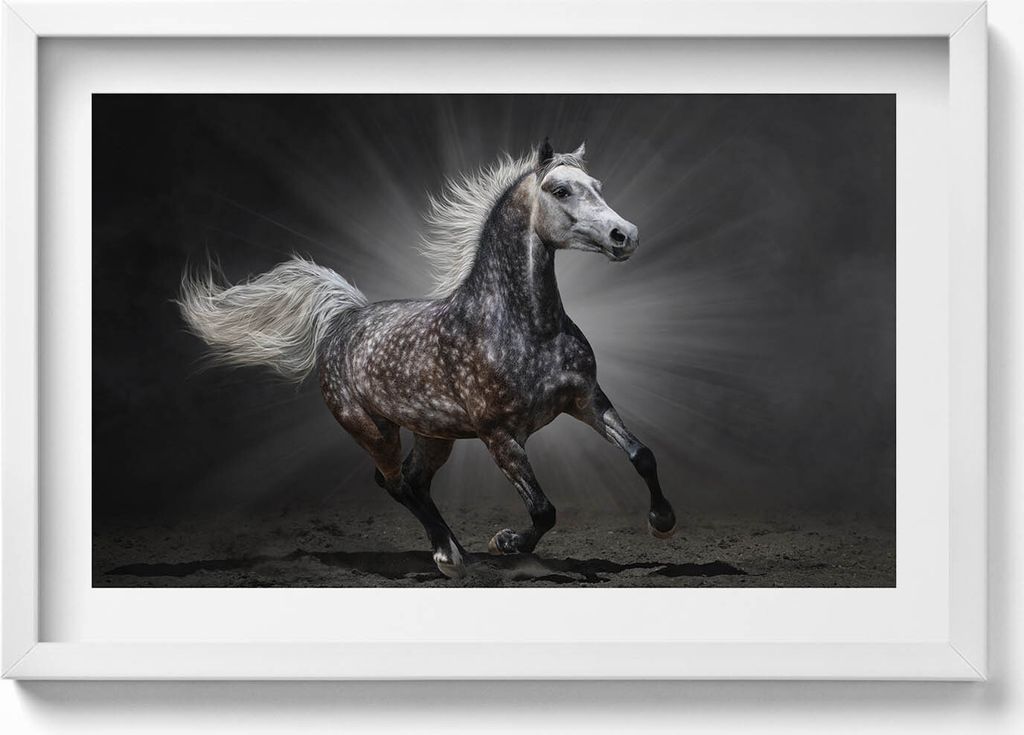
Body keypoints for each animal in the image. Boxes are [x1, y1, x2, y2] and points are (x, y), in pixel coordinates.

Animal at [179, 140, 677, 579]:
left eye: (597, 184)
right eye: (560, 190)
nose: (625, 235)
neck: (527, 328)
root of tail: (344, 319)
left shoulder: (587, 399)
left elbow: (642, 455)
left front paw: (663, 523)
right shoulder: (499, 434)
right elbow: (543, 510)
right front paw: (505, 543)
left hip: (433, 434)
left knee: (413, 481)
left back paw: (454, 549)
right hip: (372, 429)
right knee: (395, 482)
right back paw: (449, 556)